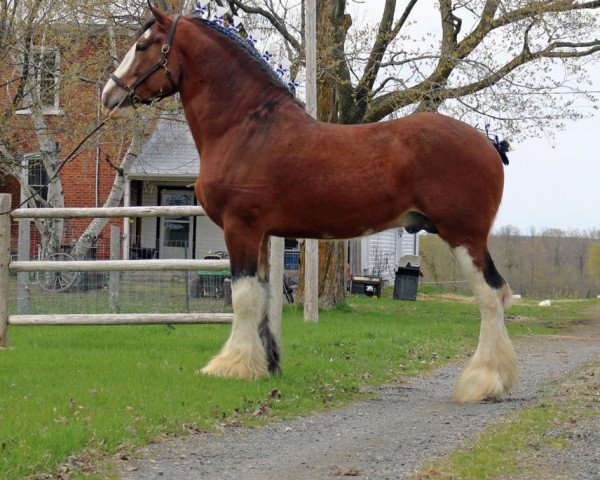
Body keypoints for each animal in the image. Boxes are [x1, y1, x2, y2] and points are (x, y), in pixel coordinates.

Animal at [103, 5, 516, 404]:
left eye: (143, 46)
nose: (109, 95)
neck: (246, 128)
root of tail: (488, 143)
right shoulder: (261, 235)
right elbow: (263, 296)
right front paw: (266, 365)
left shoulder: (240, 227)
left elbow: (243, 296)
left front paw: (231, 366)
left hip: (463, 237)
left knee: (490, 296)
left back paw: (483, 381)